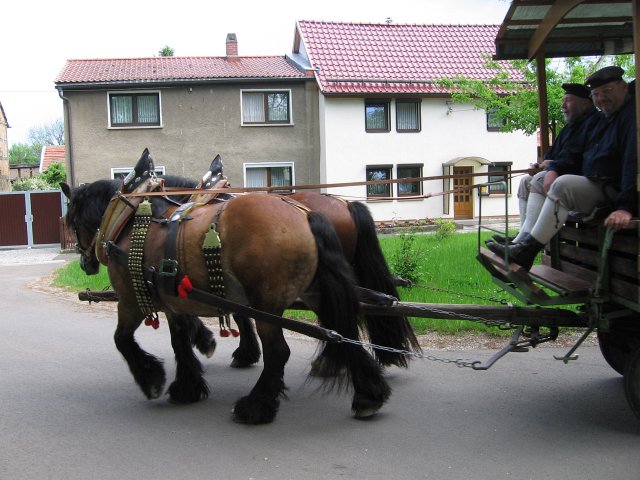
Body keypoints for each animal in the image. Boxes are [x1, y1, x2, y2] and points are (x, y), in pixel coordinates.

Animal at [61, 154, 390, 424]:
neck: (128, 220)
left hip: (267, 304)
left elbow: (122, 339)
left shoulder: (129, 301)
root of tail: (305, 214)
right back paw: (368, 395)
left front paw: (151, 378)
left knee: (279, 351)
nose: (85, 264)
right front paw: (188, 385)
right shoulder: (174, 301)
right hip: (317, 293)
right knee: (343, 331)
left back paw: (256, 406)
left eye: (71, 221)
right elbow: (179, 340)